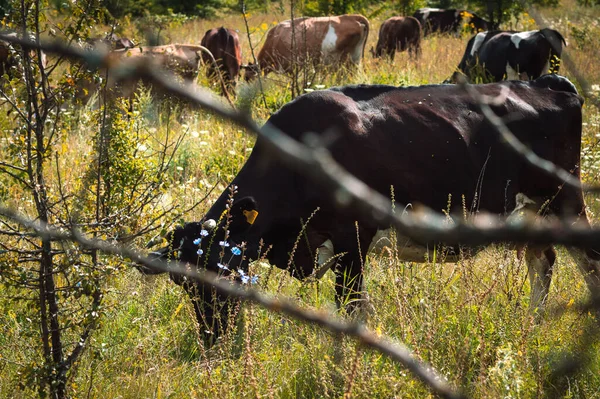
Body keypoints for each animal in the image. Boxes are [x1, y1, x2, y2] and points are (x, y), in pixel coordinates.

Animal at [142, 76, 600, 346]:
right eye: (183, 284)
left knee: (587, 262)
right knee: (542, 262)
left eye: (223, 276)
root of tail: (549, 82)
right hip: (532, 213)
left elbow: (350, 309)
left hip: (566, 200)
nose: (211, 342)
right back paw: (531, 325)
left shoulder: (353, 239)